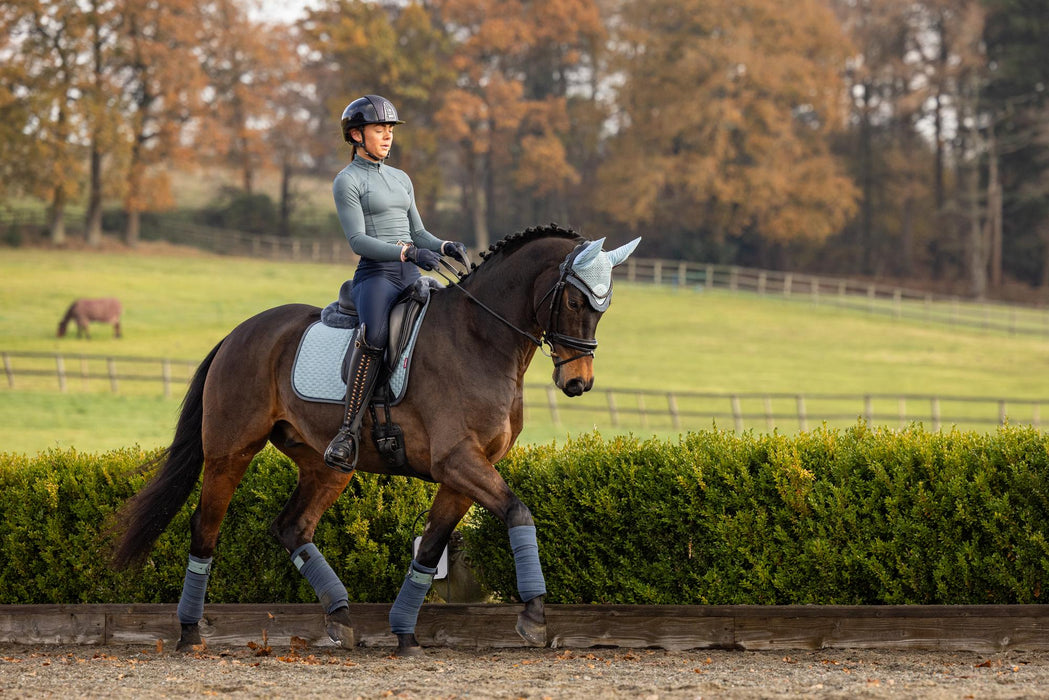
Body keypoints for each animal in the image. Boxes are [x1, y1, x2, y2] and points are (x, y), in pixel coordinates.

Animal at [112, 225, 637, 659]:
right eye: (575, 303)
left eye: (605, 306)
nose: (578, 383)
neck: (481, 339)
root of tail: (238, 333)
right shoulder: (458, 461)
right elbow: (518, 512)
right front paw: (533, 616)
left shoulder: (464, 473)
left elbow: (430, 550)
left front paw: (405, 635)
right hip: (231, 451)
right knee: (206, 526)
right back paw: (189, 633)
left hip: (327, 464)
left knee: (292, 527)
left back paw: (341, 618)